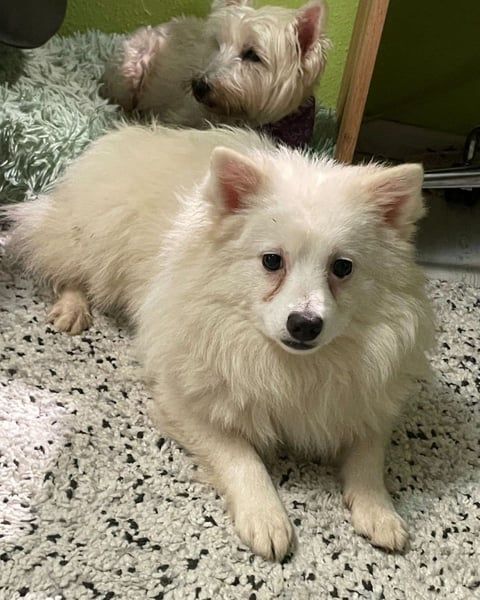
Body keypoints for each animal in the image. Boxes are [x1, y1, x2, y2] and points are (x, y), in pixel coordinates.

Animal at [7, 125, 434, 561]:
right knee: (60, 267)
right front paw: (266, 516)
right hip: (89, 244)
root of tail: (128, 132)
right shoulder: (185, 402)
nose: (304, 324)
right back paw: (72, 308)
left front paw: (379, 512)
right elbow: (240, 456)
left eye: (343, 268)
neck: (290, 366)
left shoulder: (367, 401)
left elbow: (369, 459)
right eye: (271, 261)